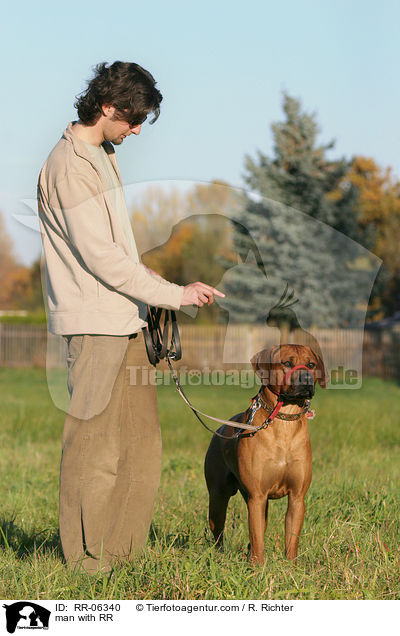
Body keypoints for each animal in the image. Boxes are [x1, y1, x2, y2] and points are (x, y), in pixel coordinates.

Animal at [205, 346, 326, 564]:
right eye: (287, 363)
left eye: (311, 364)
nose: (306, 379)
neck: (284, 420)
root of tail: (221, 428)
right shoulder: (257, 496)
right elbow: (257, 540)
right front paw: (257, 567)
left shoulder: (297, 497)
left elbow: (290, 540)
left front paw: (291, 567)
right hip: (218, 498)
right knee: (218, 533)